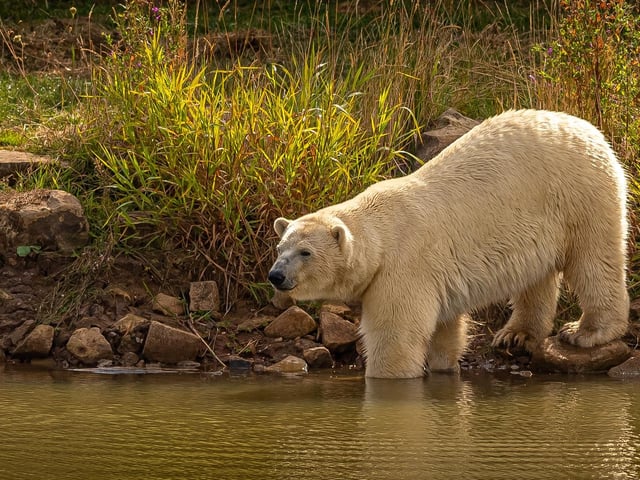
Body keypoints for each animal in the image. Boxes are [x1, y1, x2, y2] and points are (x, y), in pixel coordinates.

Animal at [268, 109, 629, 378]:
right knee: (536, 278)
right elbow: (445, 328)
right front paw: (444, 365)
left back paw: (586, 331)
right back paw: (516, 334)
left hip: (579, 193)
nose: (276, 275)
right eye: (280, 249)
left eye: (305, 252)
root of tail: (587, 127)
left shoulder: (404, 267)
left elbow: (396, 335)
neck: (380, 233)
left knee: (594, 260)